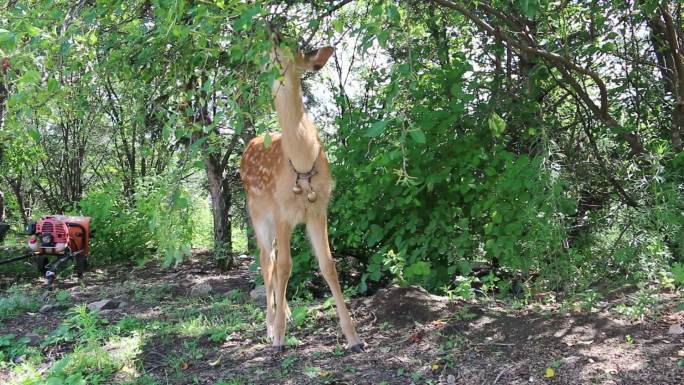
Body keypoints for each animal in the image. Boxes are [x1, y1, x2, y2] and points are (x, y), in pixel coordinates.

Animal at [240, 45, 364, 352]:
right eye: (268, 58)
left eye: (290, 56)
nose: (275, 73)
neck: (303, 165)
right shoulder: (282, 212)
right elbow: (285, 267)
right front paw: (278, 338)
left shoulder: (318, 210)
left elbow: (328, 265)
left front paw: (354, 338)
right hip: (258, 215)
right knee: (266, 261)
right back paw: (270, 326)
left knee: (272, 263)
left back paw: (283, 315)